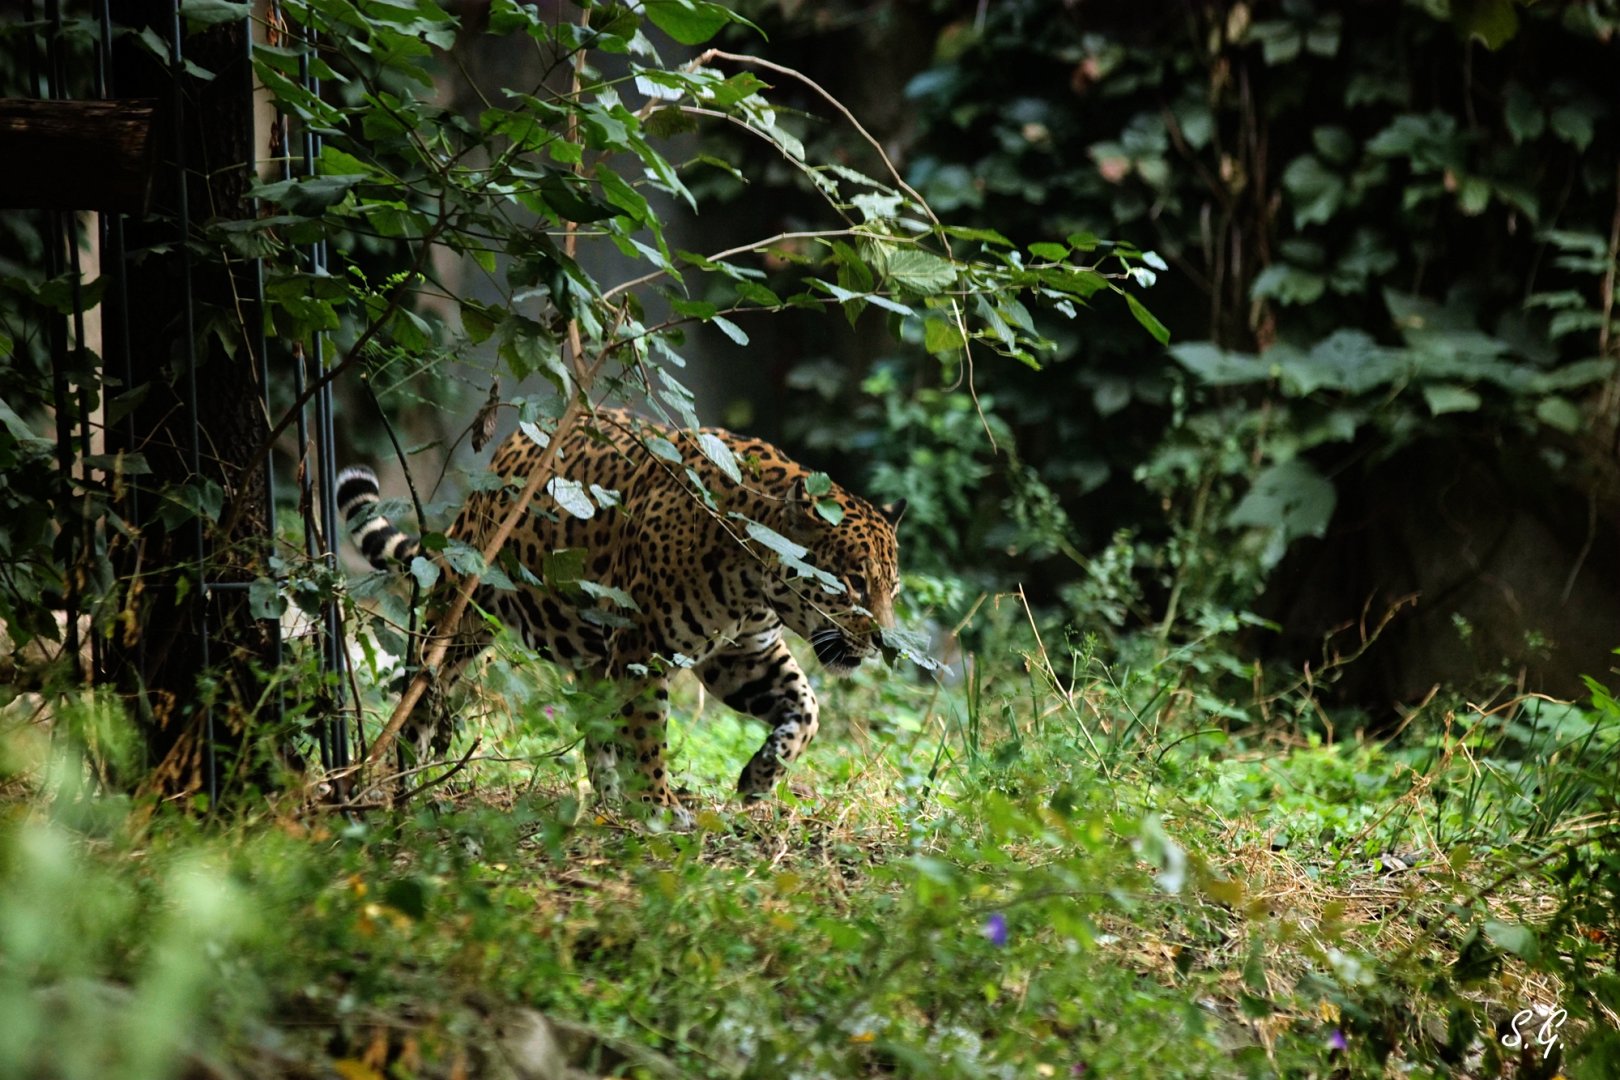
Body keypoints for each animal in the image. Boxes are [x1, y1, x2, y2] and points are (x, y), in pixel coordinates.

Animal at [336, 406, 904, 821]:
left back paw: (608, 801)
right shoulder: (644, 648)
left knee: (597, 725)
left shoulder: (744, 654)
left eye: (892, 590)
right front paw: (659, 804)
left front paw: (758, 779)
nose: (884, 643)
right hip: (463, 613)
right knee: (422, 697)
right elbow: (649, 730)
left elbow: (807, 708)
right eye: (854, 584)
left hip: (593, 655)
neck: (752, 580)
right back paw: (402, 786)